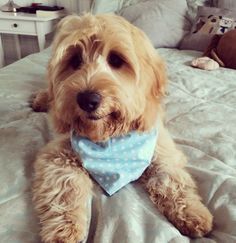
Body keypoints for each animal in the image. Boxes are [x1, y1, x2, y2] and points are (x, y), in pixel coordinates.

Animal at [30, 13, 213, 243]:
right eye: (75, 60)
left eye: (116, 60)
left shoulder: (161, 148)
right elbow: (65, 187)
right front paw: (64, 231)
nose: (87, 99)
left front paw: (192, 211)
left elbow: (171, 178)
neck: (111, 137)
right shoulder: (57, 154)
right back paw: (41, 99)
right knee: (49, 94)